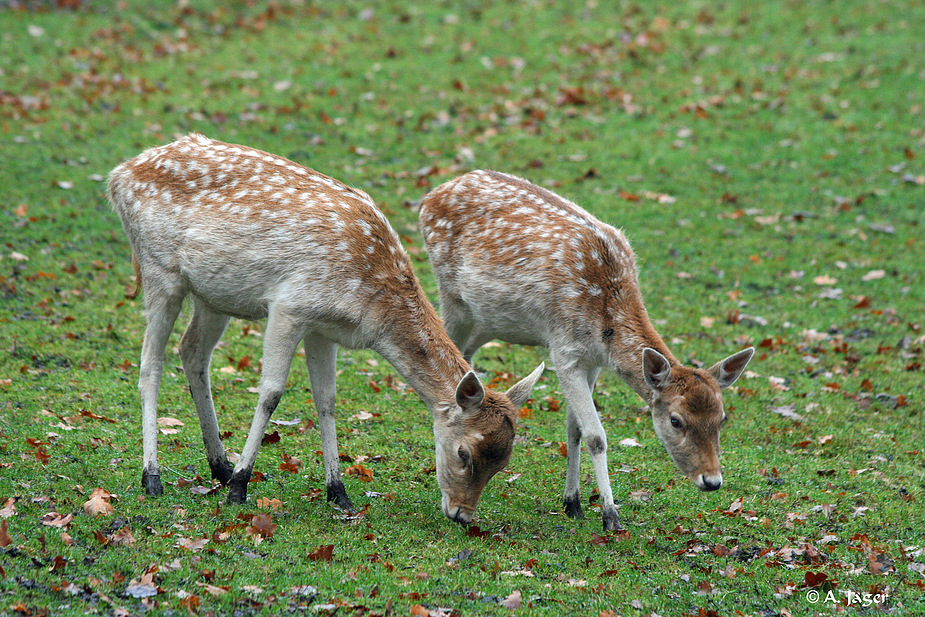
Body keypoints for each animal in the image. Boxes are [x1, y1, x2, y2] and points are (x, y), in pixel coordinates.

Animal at [109, 134, 544, 520]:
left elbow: (327, 400)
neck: (369, 303)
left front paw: (339, 492)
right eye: (464, 453)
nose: (461, 515)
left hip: (214, 295)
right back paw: (154, 477)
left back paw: (219, 466)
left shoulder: (324, 328)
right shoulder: (289, 306)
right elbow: (271, 393)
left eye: (503, 463)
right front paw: (241, 488)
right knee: (150, 364)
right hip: (159, 270)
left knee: (192, 352)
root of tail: (119, 175)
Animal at [418, 168, 752, 528]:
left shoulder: (593, 361)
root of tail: (431, 195)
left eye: (722, 418)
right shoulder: (564, 351)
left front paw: (573, 503)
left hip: (484, 320)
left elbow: (574, 428)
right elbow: (595, 435)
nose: (712, 480)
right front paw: (610, 515)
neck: (603, 322)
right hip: (450, 294)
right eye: (676, 420)